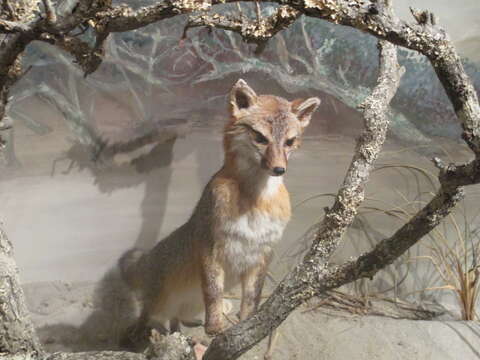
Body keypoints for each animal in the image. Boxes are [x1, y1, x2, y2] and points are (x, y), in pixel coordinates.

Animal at [120, 78, 320, 340]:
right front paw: (215, 327)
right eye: (260, 137)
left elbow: (252, 298)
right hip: (158, 304)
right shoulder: (210, 248)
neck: (255, 202)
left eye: (289, 142)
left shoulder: (263, 254)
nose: (279, 169)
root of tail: (153, 254)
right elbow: (213, 292)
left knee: (176, 320)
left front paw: (247, 324)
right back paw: (134, 333)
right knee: (148, 314)